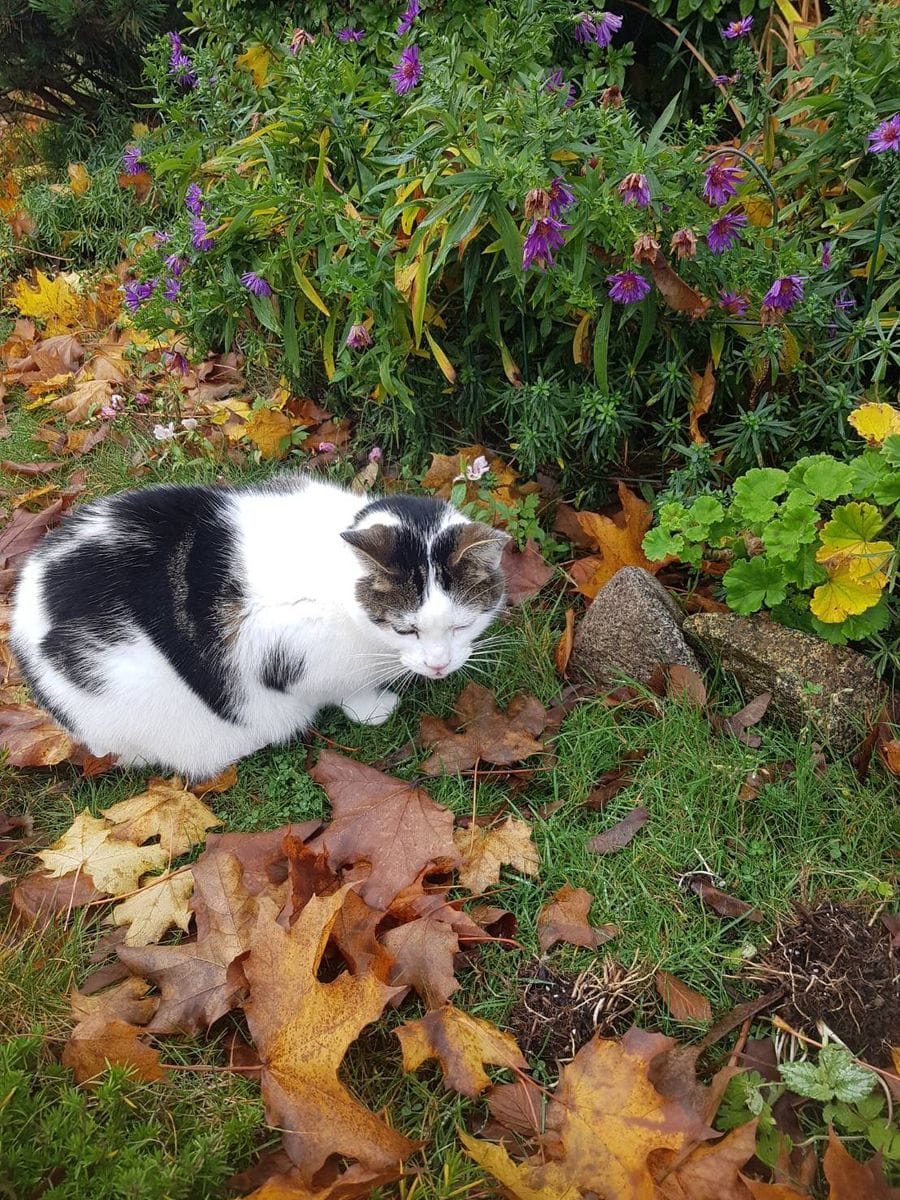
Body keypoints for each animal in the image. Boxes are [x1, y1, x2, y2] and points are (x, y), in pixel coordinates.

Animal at [10, 475, 511, 777]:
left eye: (461, 626)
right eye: (406, 630)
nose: (439, 665)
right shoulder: (288, 653)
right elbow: (341, 689)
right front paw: (373, 708)